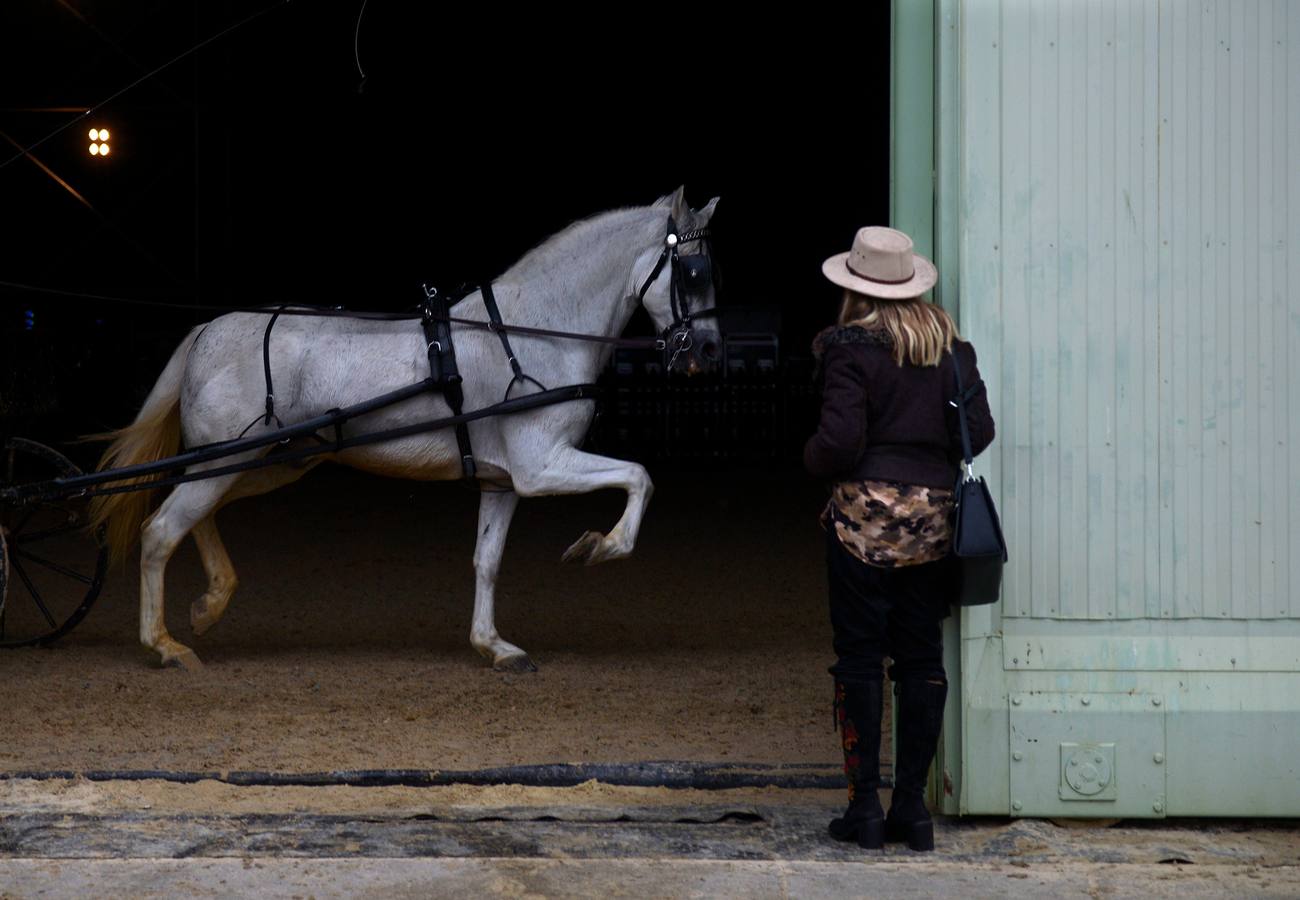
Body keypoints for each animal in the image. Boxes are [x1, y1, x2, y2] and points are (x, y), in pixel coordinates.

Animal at [91, 188, 722, 665]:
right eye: (694, 270)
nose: (709, 352)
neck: (531, 332)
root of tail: (205, 331)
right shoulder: (542, 465)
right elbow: (639, 476)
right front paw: (599, 546)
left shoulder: (504, 480)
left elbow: (487, 561)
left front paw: (494, 646)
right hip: (230, 459)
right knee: (161, 531)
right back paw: (166, 645)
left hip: (264, 462)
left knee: (197, 515)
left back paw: (210, 605)